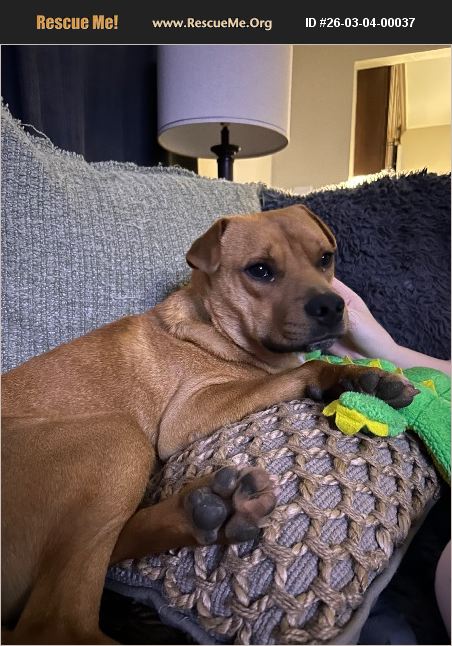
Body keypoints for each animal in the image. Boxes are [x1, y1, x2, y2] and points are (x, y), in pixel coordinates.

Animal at [1, 204, 417, 644]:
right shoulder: (191, 410)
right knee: (54, 622)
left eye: (325, 258)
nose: (331, 306)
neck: (215, 325)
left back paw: (211, 510)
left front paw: (366, 378)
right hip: (118, 437)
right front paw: (340, 375)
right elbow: (294, 372)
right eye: (260, 270)